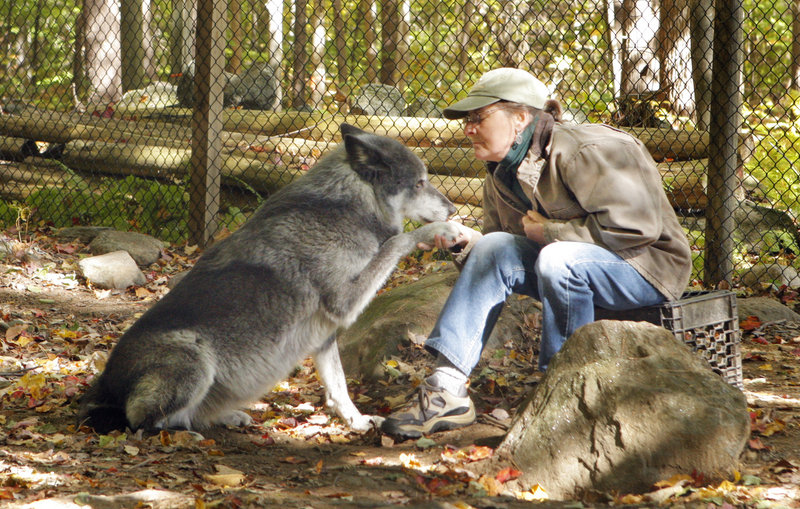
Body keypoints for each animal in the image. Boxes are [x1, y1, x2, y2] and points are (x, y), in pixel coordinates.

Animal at [78, 123, 461, 433]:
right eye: (420, 183)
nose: (454, 209)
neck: (349, 205)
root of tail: (103, 385)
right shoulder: (343, 303)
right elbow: (398, 241)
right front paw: (440, 231)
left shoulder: (325, 336)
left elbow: (338, 389)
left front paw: (355, 421)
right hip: (194, 359)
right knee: (141, 421)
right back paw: (184, 433)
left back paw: (226, 417)